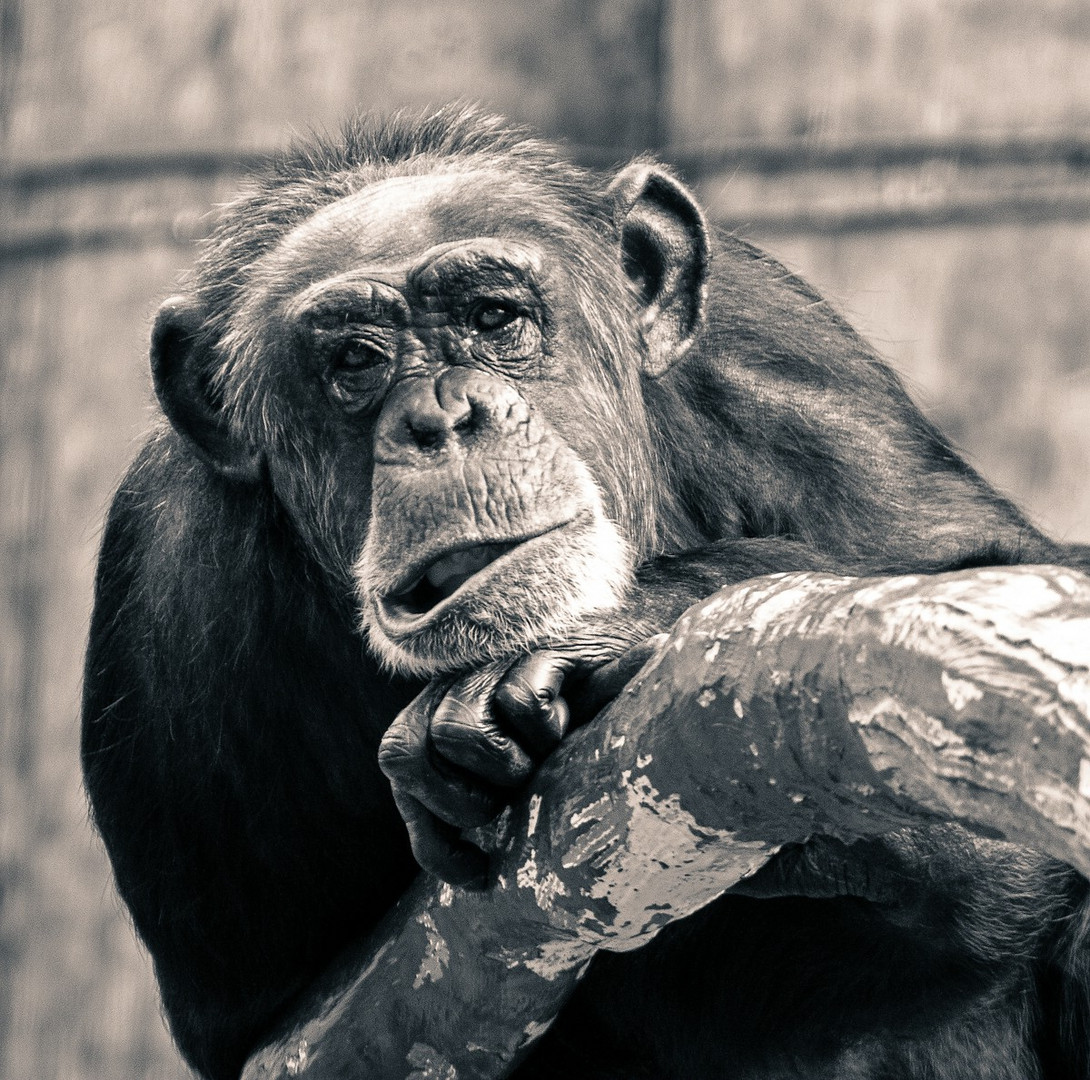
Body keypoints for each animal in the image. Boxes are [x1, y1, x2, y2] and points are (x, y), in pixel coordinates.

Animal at [82, 107, 1090, 1080]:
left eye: (494, 316)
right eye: (356, 361)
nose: (442, 417)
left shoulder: (785, 360)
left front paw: (630, 630)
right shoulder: (166, 580)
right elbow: (272, 1029)